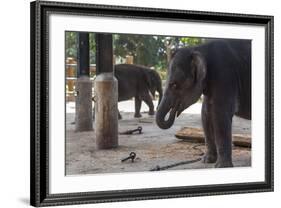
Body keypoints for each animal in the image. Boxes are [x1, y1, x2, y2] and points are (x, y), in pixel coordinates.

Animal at [154, 39, 250, 168]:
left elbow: (220, 114)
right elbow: (206, 114)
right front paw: (207, 161)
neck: (198, 48)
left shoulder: (224, 75)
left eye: (174, 85)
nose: (174, 111)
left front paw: (221, 167)